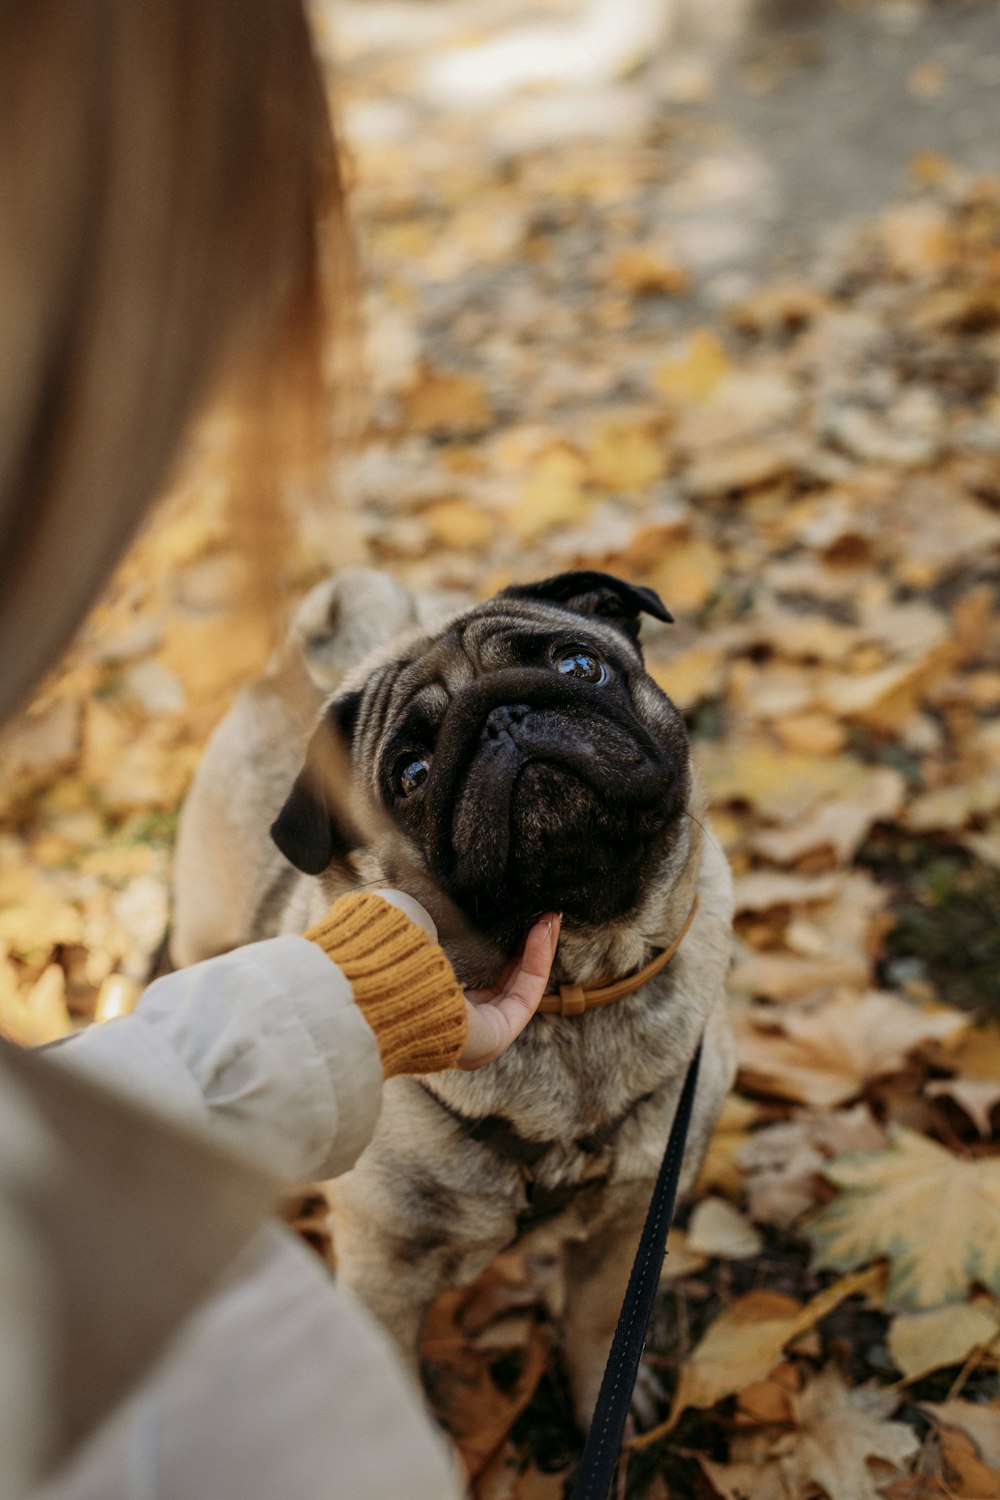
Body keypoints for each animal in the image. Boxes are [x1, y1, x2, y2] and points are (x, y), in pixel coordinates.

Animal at [173, 567, 734, 1422]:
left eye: (580, 665)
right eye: (409, 776)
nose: (505, 716)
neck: (577, 992)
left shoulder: (633, 1219)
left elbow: (599, 1321)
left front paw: (605, 1400)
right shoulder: (384, 1272)